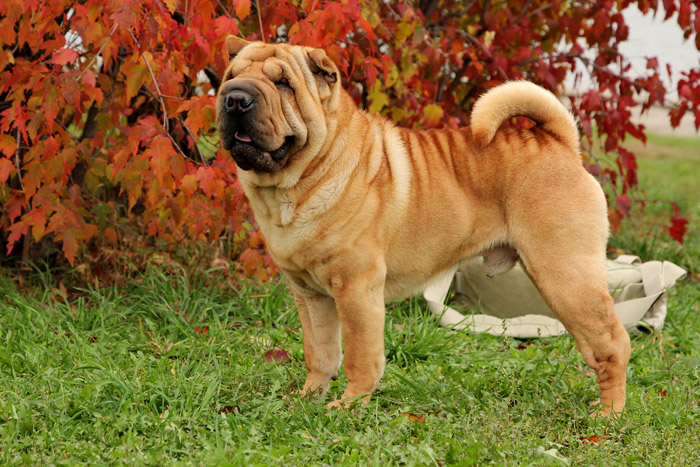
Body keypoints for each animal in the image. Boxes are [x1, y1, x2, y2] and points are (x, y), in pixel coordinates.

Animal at [216, 36, 631, 416]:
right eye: (230, 77)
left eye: (283, 83)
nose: (236, 98)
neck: (292, 190)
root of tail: (560, 143)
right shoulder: (310, 295)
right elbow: (320, 353)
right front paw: (309, 398)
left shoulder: (355, 289)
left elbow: (360, 356)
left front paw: (349, 405)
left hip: (565, 276)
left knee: (612, 344)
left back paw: (608, 415)